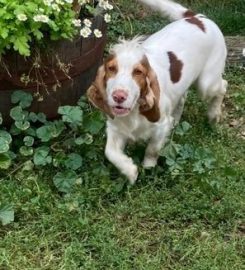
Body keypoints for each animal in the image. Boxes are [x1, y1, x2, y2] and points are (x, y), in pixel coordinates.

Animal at [86, 0, 228, 184]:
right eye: (111, 69)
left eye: (138, 72)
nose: (118, 97)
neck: (135, 112)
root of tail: (200, 18)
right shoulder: (115, 127)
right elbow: (110, 152)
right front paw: (130, 171)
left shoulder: (160, 127)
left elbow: (152, 150)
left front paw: (148, 170)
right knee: (182, 98)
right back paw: (176, 120)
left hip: (207, 82)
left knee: (222, 86)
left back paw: (213, 115)